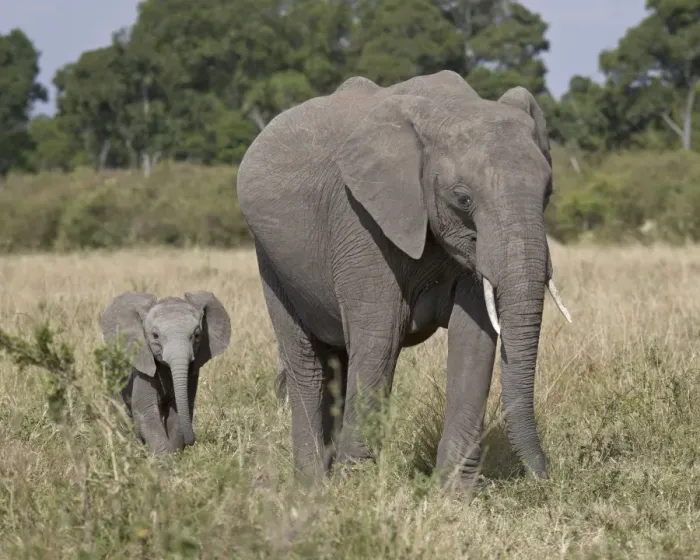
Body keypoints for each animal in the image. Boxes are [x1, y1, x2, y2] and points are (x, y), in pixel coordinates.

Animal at [101, 291, 231, 454]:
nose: (192, 440)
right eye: (155, 336)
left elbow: (177, 410)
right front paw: (166, 457)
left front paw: (175, 455)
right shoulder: (141, 366)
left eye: (197, 335)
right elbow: (146, 411)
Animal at [236, 70, 572, 489]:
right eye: (463, 199)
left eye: (548, 192)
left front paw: (452, 495)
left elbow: (474, 339)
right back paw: (312, 487)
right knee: (309, 364)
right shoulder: (360, 219)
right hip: (271, 260)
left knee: (337, 363)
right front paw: (358, 490)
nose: (544, 477)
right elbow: (381, 334)